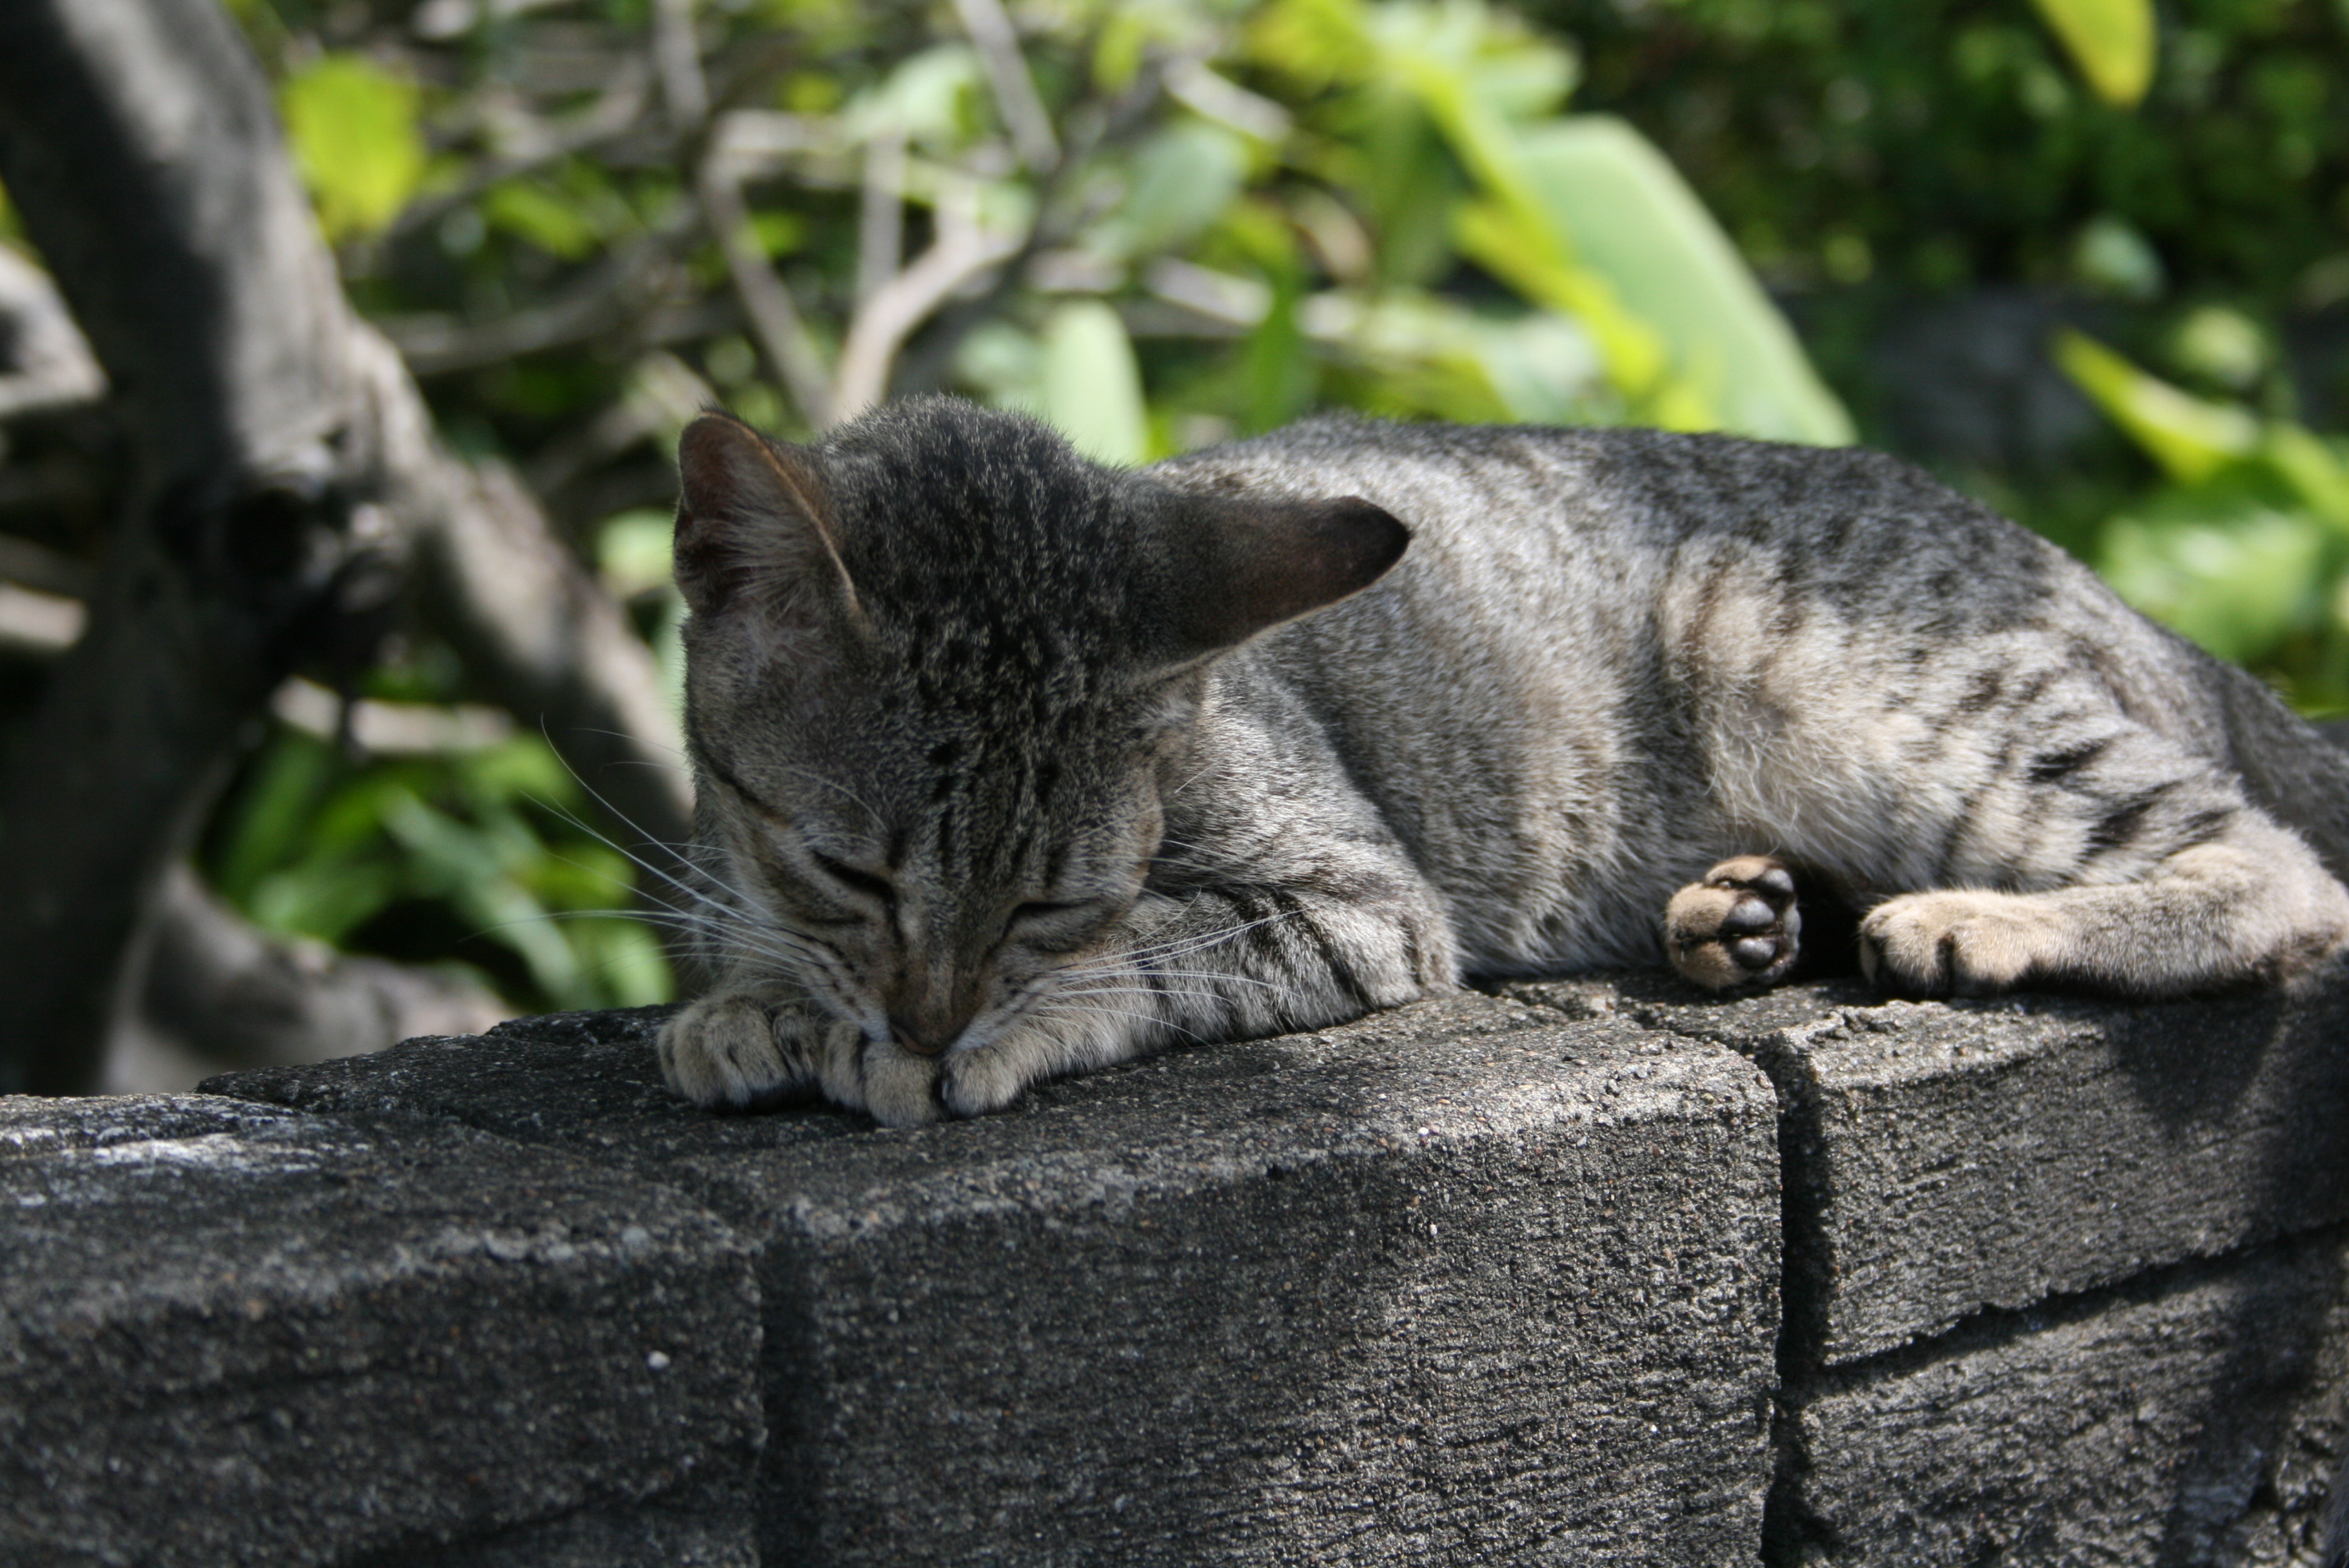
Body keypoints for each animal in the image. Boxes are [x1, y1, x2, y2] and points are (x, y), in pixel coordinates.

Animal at [652, 399, 2349, 1122]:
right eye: (845, 867)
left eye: (1050, 905)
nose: (928, 1022)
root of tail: (2101, 588)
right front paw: (751, 1007)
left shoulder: (1362, 900)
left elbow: (1165, 942)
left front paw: (962, 1038)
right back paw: (1739, 915)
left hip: (1851, 680)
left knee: (2283, 874)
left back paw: (1975, 922)